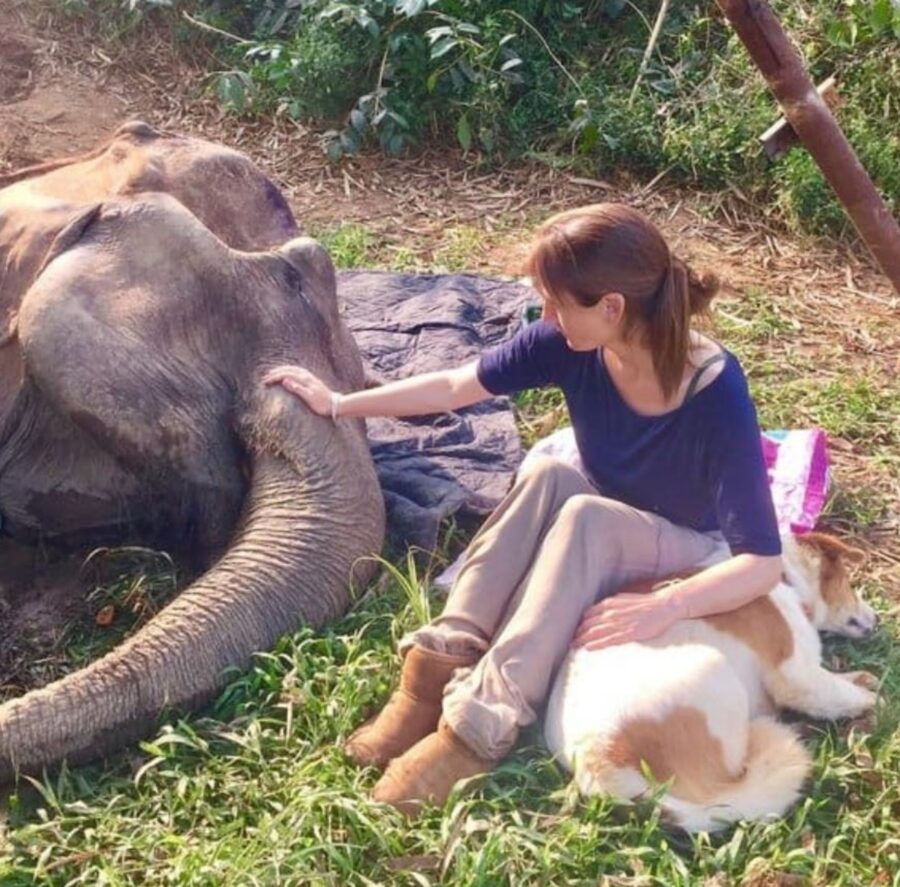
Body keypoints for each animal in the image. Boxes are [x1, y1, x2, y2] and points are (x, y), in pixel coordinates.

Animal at [540, 536, 880, 832]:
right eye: (850, 584)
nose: (877, 619)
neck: (786, 578)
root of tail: (597, 760)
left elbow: (843, 683)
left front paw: (863, 677)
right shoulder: (797, 676)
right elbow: (851, 695)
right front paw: (878, 704)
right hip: (715, 667)